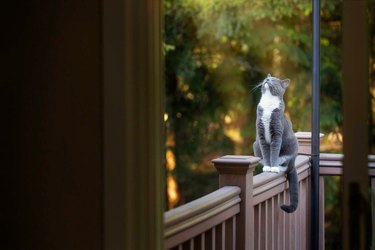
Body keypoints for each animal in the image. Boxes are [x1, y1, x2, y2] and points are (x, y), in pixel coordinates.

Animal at [253, 73, 300, 213]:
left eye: (274, 80)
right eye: (266, 78)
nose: (267, 79)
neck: (268, 103)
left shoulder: (277, 132)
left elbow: (274, 151)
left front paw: (273, 167)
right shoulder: (261, 134)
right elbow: (266, 151)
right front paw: (268, 166)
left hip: (292, 147)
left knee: (285, 164)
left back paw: (279, 166)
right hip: (255, 145)